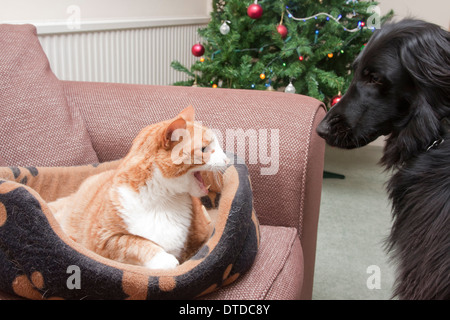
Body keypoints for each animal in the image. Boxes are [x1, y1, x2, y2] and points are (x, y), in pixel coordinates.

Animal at [50, 106, 229, 268]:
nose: (228, 160)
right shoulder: (104, 239)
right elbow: (134, 242)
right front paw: (165, 259)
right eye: (204, 149)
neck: (162, 201)